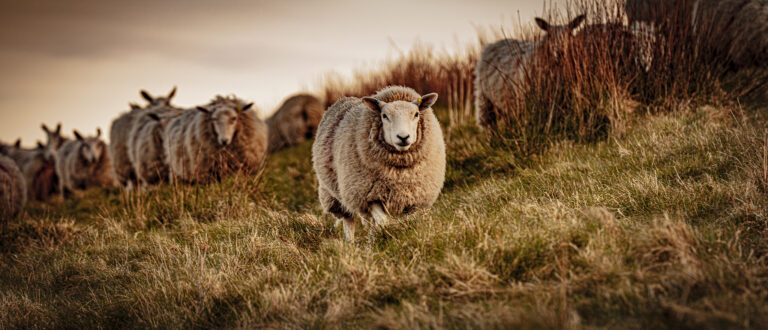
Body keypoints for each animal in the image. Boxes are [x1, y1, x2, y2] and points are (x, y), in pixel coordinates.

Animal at [310, 85, 444, 241]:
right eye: (384, 116)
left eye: (416, 114)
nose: (403, 137)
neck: (398, 175)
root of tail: (342, 100)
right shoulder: (370, 196)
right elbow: (382, 221)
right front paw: (384, 237)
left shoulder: (414, 197)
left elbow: (409, 221)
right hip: (336, 193)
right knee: (349, 221)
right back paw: (350, 243)